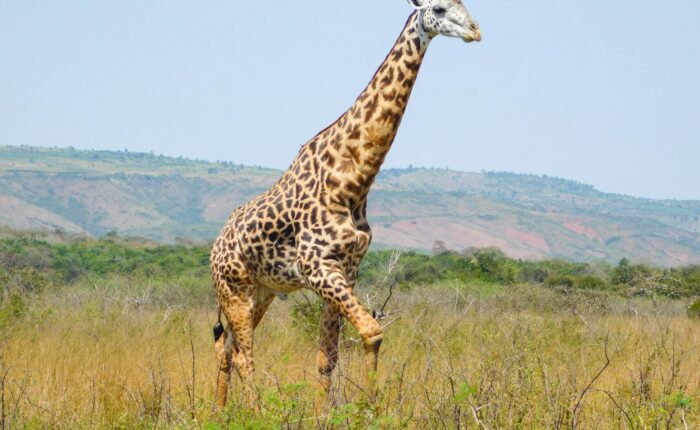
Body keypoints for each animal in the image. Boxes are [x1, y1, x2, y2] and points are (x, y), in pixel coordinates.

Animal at [210, 0, 481, 409]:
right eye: (438, 8)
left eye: (466, 6)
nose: (475, 31)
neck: (353, 180)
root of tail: (215, 247)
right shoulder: (318, 267)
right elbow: (372, 331)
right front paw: (369, 409)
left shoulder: (346, 269)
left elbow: (327, 358)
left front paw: (328, 414)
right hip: (233, 287)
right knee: (243, 353)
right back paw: (249, 412)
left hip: (262, 290)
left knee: (227, 348)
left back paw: (219, 412)